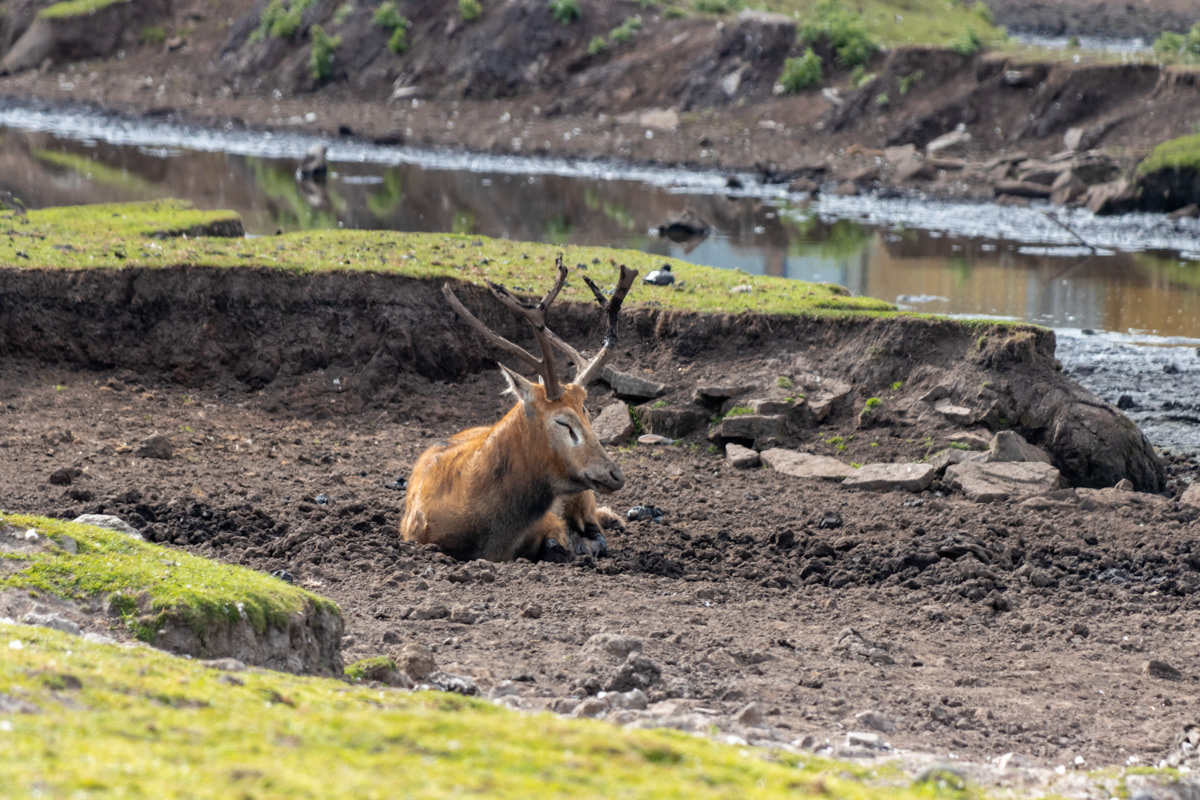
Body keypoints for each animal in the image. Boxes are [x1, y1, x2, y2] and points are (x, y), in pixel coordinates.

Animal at [400, 257, 638, 563]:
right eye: (563, 422)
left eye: (587, 412)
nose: (615, 474)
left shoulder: (551, 522)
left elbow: (558, 545)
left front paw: (579, 545)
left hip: (585, 497)